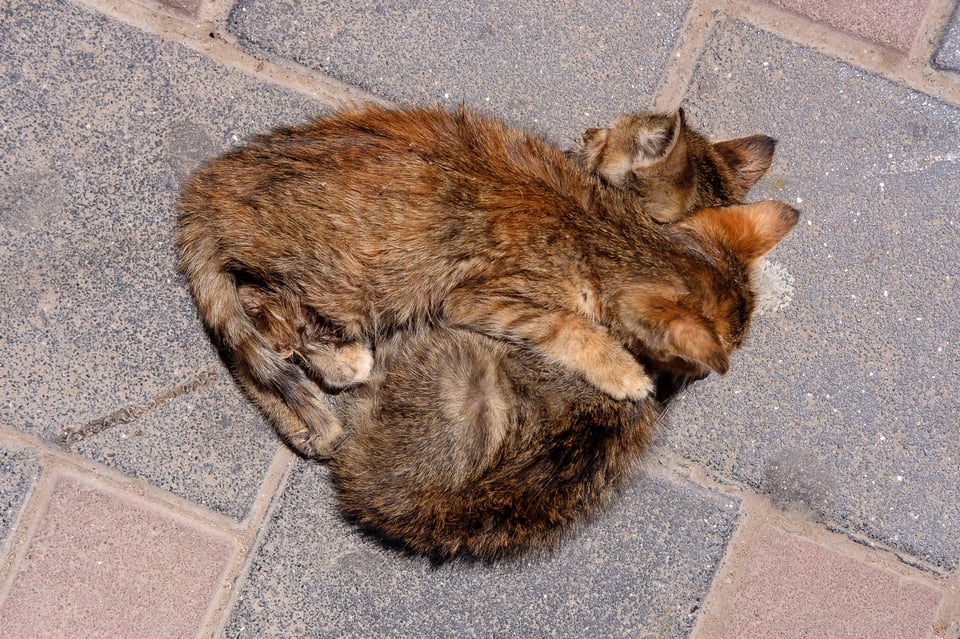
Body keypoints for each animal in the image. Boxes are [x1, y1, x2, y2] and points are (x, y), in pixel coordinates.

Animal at [178, 105, 780, 458]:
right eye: (611, 131)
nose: (588, 132)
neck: (616, 232)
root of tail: (204, 189)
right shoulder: (475, 297)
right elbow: (567, 325)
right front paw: (624, 371)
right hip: (355, 282)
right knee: (255, 327)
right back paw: (318, 402)